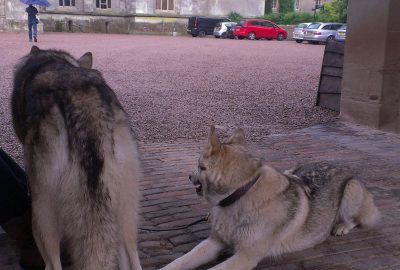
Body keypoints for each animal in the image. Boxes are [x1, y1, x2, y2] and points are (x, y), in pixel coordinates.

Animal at [161, 126, 380, 270]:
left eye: (198, 165)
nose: (189, 176)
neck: (240, 194)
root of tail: (341, 166)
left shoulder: (245, 256)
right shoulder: (214, 243)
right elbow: (180, 261)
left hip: (351, 190)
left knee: (356, 219)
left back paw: (342, 226)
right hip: (292, 170)